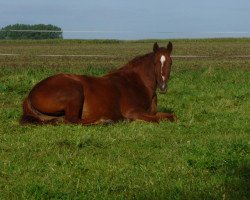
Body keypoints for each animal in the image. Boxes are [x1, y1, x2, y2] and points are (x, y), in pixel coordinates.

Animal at [20, 41, 177, 124]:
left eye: (170, 62)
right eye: (155, 62)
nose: (163, 87)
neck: (137, 83)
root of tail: (30, 94)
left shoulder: (153, 112)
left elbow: (172, 116)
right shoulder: (133, 112)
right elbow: (159, 119)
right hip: (75, 92)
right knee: (72, 120)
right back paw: (103, 121)